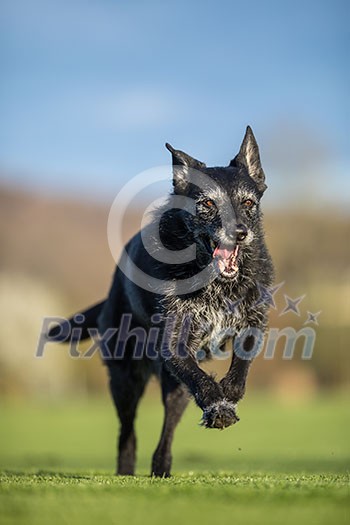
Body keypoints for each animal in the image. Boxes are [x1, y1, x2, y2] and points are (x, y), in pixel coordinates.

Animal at [48, 126, 274, 474]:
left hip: (173, 389)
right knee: (127, 431)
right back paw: (127, 469)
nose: (239, 233)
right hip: (125, 379)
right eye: (208, 203)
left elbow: (240, 369)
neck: (214, 282)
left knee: (168, 423)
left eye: (248, 201)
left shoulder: (251, 325)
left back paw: (161, 467)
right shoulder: (174, 346)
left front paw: (228, 396)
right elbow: (203, 382)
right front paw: (218, 405)